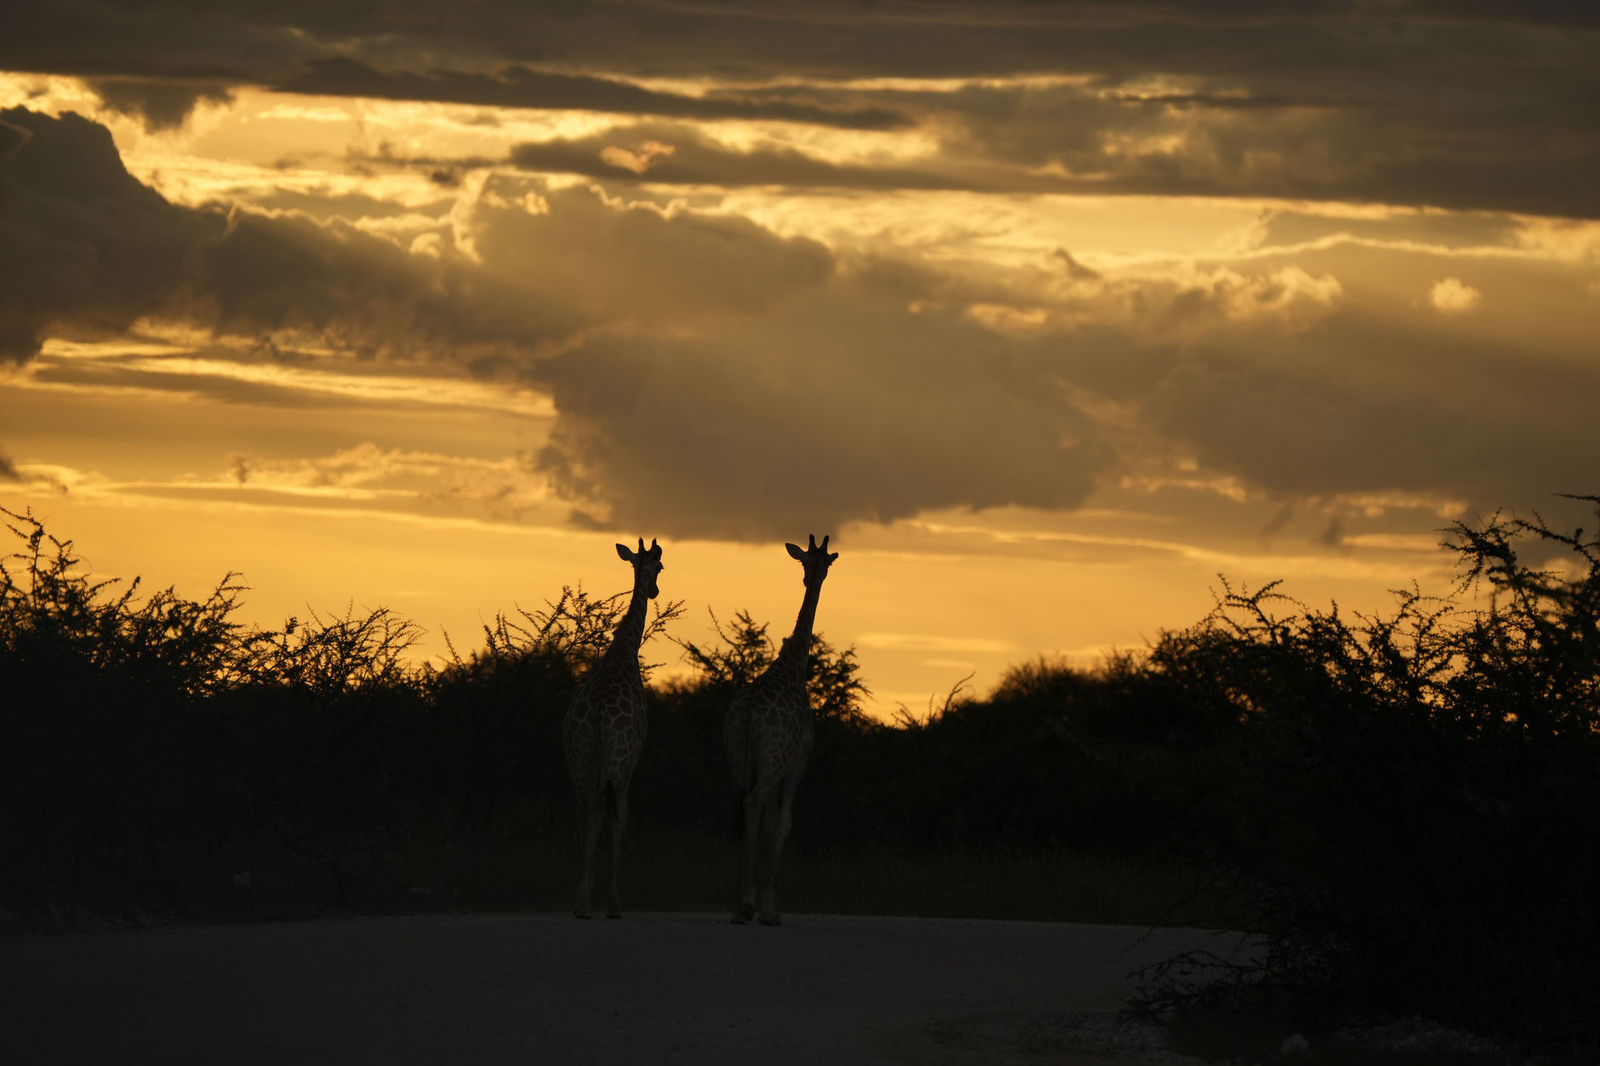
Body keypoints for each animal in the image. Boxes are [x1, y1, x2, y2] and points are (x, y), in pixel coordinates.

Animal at [561, 537, 664, 919]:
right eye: (660, 566)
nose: (655, 589)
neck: (624, 650)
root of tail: (599, 710)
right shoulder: (630, 760)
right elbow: (621, 816)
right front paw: (613, 902)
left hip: (578, 757)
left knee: (582, 810)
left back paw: (580, 899)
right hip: (615, 759)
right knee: (601, 812)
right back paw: (597, 903)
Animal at [725, 533, 838, 925]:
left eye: (813, 562)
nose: (811, 577)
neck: (794, 665)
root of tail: (746, 714)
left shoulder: (768, 763)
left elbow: (771, 821)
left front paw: (761, 903)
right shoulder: (797, 760)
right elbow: (784, 821)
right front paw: (770, 909)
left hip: (740, 757)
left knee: (743, 804)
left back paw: (738, 906)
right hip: (772, 759)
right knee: (755, 802)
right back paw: (746, 905)